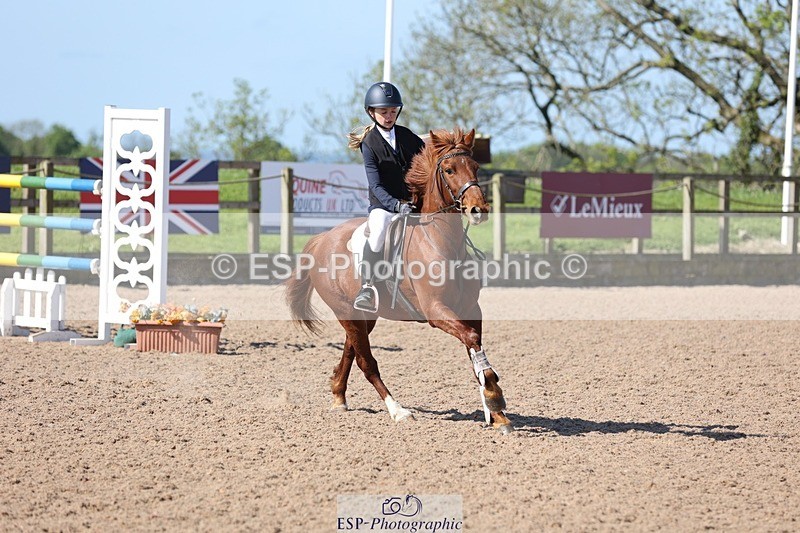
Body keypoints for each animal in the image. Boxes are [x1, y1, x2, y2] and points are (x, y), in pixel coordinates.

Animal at [284, 128, 513, 434]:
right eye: (449, 170)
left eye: (475, 167)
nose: (478, 209)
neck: (441, 241)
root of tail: (324, 238)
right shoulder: (436, 311)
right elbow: (472, 339)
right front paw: (494, 398)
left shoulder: (470, 309)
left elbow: (474, 347)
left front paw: (496, 413)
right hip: (346, 311)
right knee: (366, 362)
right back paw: (398, 410)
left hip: (364, 316)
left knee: (350, 350)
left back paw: (338, 396)